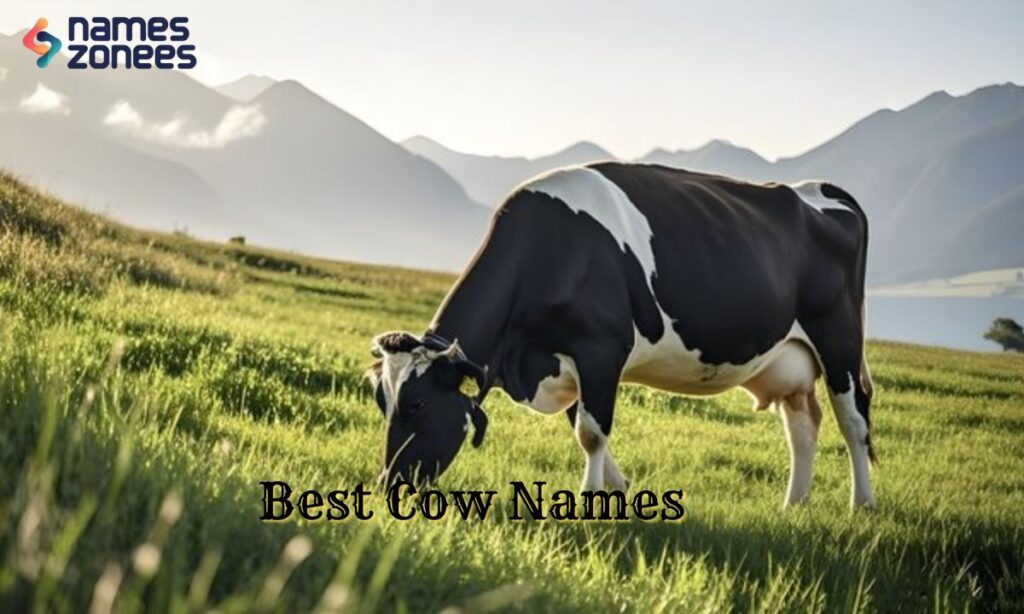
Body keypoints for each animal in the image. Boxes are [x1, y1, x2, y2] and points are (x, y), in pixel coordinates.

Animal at [369, 162, 877, 508]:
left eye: (418, 404)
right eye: (382, 402)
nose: (386, 485)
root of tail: (819, 188)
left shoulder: (600, 349)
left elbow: (591, 432)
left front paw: (591, 501)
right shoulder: (568, 361)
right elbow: (582, 423)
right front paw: (620, 490)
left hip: (839, 339)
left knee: (853, 419)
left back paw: (862, 504)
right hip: (791, 358)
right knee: (803, 423)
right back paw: (794, 504)